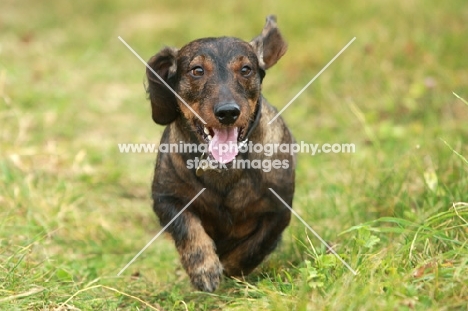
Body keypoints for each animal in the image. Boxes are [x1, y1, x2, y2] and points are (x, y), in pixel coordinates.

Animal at [146, 15, 294, 292]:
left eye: (246, 69)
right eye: (197, 70)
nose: (228, 112)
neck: (224, 167)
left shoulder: (278, 211)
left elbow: (252, 249)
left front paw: (229, 270)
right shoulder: (166, 199)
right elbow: (188, 227)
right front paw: (204, 269)